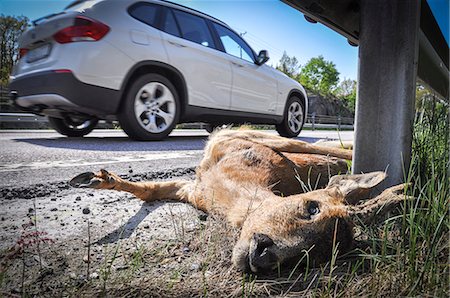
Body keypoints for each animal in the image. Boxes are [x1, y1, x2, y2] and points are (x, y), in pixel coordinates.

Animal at [70, 129, 408, 274]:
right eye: (312, 207)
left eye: (311, 258)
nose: (264, 255)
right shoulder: (204, 174)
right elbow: (149, 191)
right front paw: (93, 178)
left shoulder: (192, 189)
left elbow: (151, 191)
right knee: (330, 146)